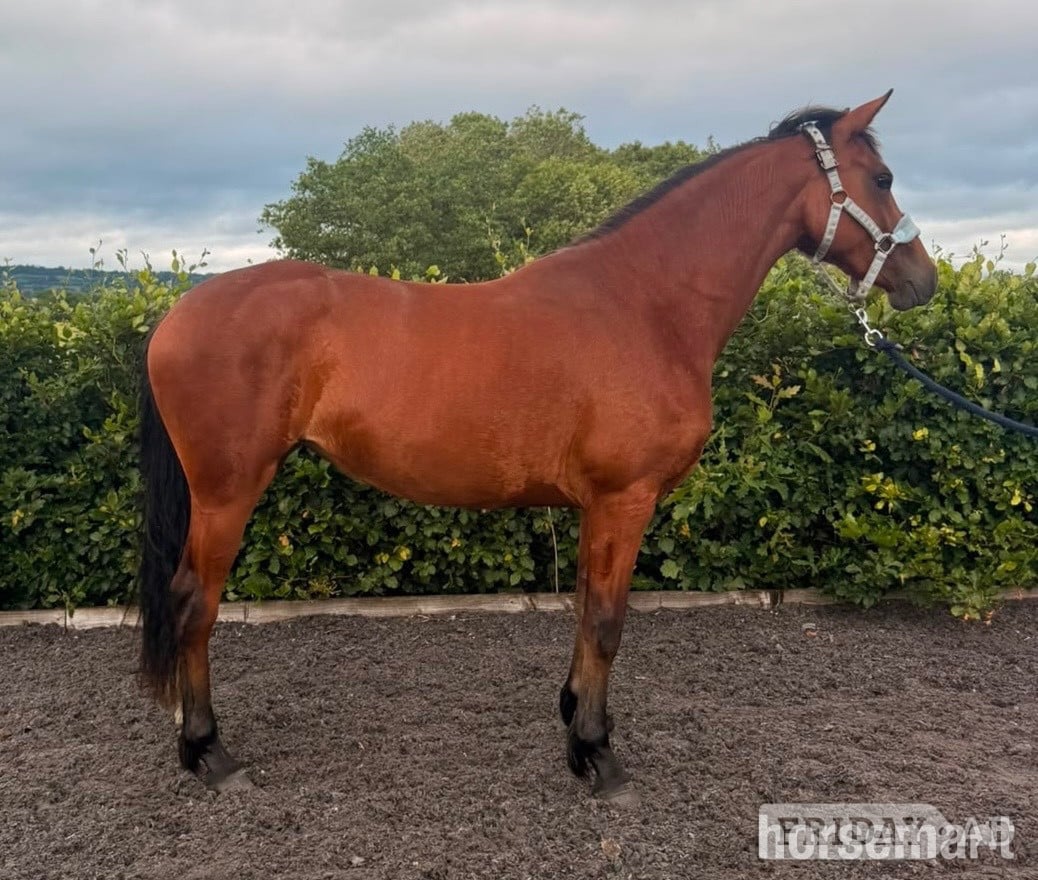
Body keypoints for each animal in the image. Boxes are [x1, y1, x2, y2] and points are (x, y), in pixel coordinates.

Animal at [138, 91, 936, 799]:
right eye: (884, 178)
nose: (922, 279)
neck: (645, 305)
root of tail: (178, 312)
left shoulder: (595, 507)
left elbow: (585, 610)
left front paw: (579, 729)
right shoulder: (625, 498)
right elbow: (609, 622)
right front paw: (599, 758)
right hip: (228, 491)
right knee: (194, 603)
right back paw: (209, 753)